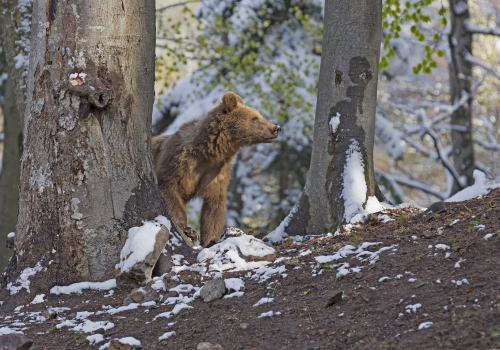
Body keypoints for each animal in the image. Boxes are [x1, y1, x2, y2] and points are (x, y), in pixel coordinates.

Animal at [152, 91, 282, 247]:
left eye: (259, 116)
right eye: (254, 118)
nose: (276, 128)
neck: (208, 153)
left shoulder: (217, 173)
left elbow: (214, 208)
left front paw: (210, 241)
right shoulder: (177, 163)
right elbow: (169, 190)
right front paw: (188, 231)